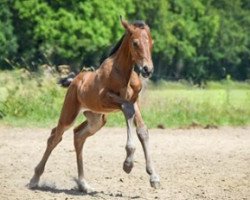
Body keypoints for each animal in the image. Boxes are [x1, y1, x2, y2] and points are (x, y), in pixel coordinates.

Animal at [29, 18, 160, 193]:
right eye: (135, 43)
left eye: (151, 43)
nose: (147, 69)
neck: (122, 73)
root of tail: (74, 80)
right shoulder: (107, 99)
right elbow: (127, 110)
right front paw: (128, 164)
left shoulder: (134, 101)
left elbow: (142, 131)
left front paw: (154, 177)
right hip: (69, 114)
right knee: (55, 137)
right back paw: (35, 179)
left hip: (97, 119)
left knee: (78, 136)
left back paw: (84, 184)